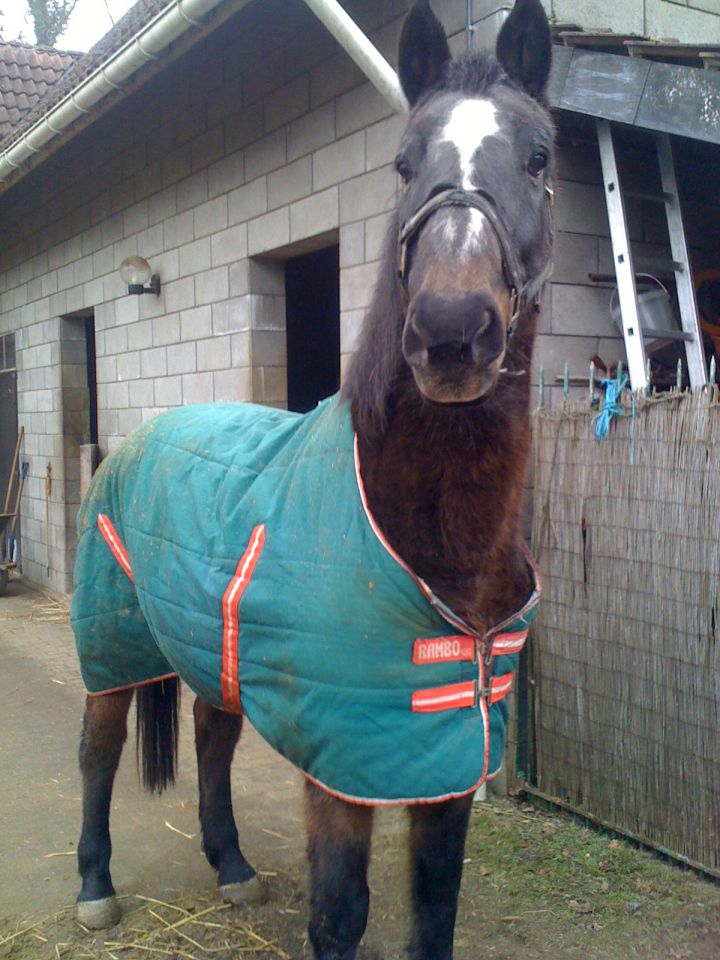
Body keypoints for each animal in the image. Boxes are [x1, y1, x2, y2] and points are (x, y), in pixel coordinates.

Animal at [71, 1, 554, 957]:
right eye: (404, 163)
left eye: (540, 157)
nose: (451, 331)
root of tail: (139, 439)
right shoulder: (343, 769)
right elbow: (340, 914)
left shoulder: (441, 757)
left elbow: (434, 909)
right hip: (115, 646)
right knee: (99, 750)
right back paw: (97, 887)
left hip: (207, 650)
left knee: (212, 740)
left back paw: (231, 869)